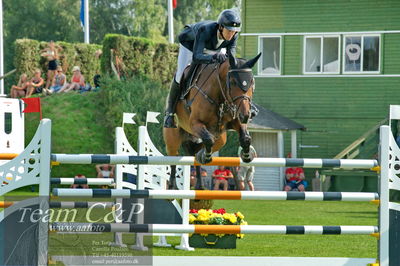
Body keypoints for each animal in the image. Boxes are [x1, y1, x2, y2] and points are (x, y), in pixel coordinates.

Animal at [163, 51, 262, 189]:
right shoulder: (195, 123)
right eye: (233, 82)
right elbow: (208, 140)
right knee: (173, 159)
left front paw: (246, 155)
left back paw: (199, 184)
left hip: (219, 137)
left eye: (252, 82)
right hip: (173, 138)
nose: (246, 115)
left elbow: (245, 138)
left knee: (197, 151)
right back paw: (173, 186)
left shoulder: (235, 121)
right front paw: (205, 156)